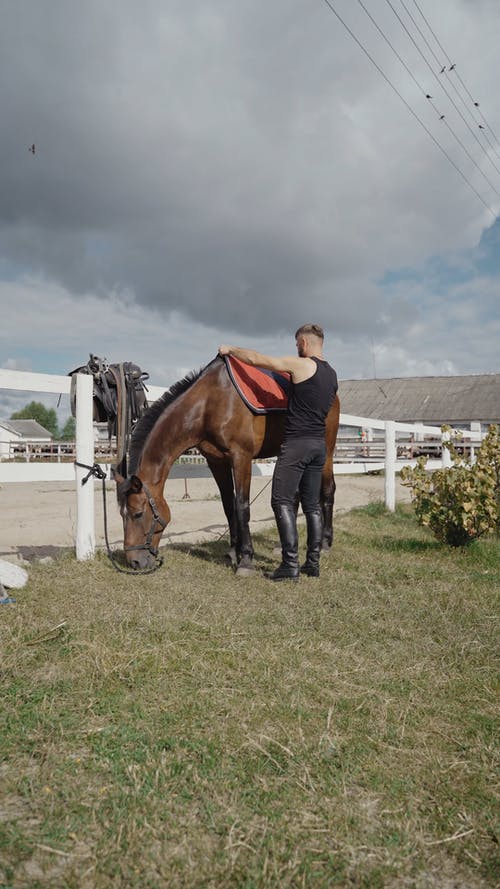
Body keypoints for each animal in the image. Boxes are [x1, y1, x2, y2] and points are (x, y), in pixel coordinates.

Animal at [115, 356, 340, 576]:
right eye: (121, 515)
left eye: (137, 513)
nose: (134, 562)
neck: (209, 403)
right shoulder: (217, 461)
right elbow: (228, 505)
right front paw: (233, 552)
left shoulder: (241, 458)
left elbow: (242, 506)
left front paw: (246, 559)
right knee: (294, 496)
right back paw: (280, 546)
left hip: (326, 453)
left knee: (328, 490)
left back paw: (325, 544)